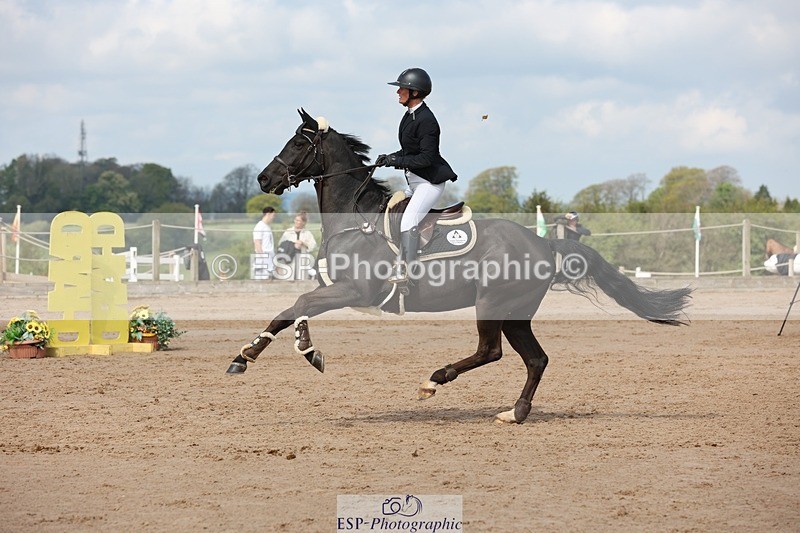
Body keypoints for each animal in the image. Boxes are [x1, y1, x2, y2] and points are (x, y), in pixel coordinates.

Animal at [225, 109, 692, 424]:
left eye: (298, 144)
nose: (264, 179)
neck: (355, 216)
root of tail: (542, 242)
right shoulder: (337, 289)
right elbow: (294, 308)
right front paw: (261, 353)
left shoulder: (355, 291)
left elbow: (298, 304)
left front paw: (284, 352)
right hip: (515, 312)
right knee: (535, 359)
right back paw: (515, 412)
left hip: (492, 303)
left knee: (492, 351)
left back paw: (435, 381)